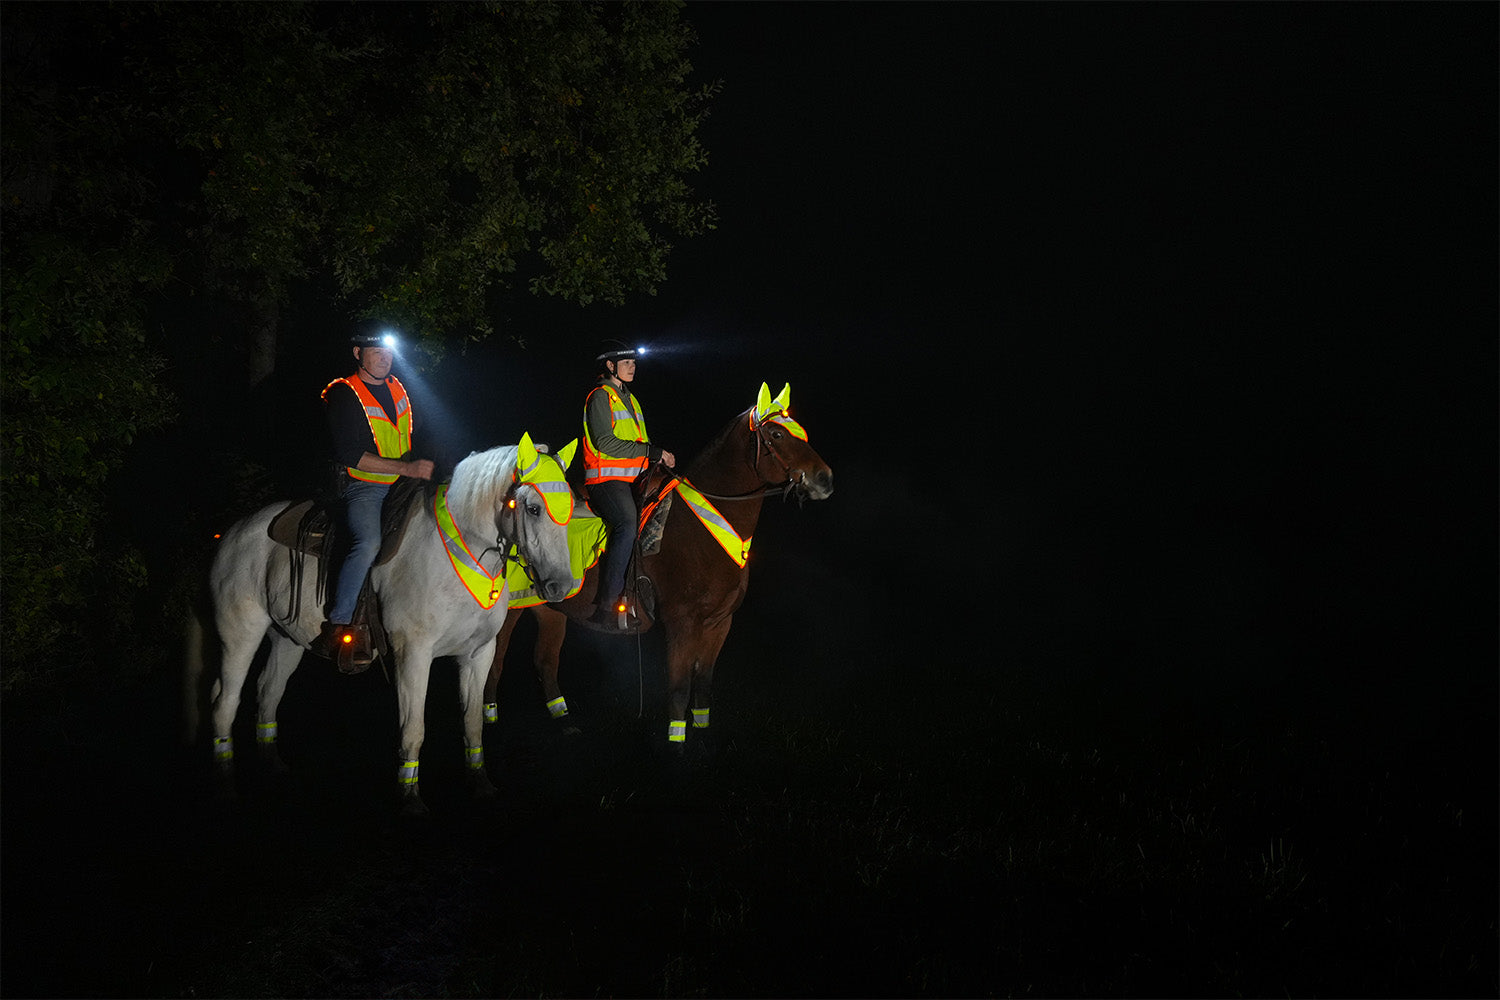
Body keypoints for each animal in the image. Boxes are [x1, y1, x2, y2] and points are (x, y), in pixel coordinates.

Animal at [184, 433, 578, 814]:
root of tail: (232, 534)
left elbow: (473, 723)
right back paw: (225, 785)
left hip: (287, 640)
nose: (561, 586)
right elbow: (413, 729)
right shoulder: (413, 655)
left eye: (571, 507)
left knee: (268, 691)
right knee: (224, 702)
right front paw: (410, 797)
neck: (458, 552)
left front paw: (481, 785)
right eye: (533, 508)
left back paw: (272, 766)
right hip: (240, 634)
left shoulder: (478, 654)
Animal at [483, 383, 833, 746]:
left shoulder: (719, 623)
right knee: (494, 664)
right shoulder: (682, 623)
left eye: (801, 432)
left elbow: (703, 687)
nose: (825, 479)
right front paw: (676, 745)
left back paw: (564, 723)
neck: (703, 527)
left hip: (551, 608)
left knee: (545, 662)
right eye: (777, 434)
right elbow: (679, 688)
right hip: (509, 610)